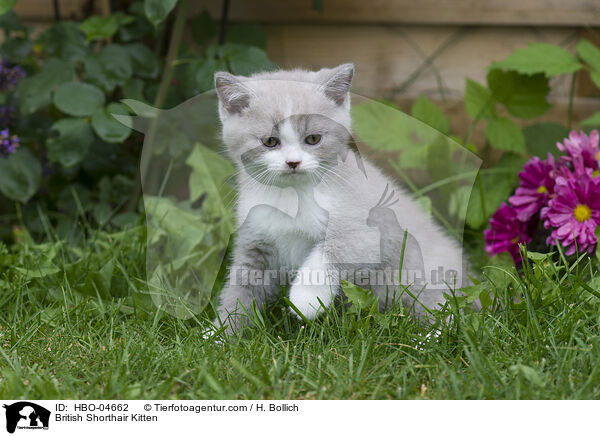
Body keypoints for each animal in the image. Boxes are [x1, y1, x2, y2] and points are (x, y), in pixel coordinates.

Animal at [213, 62, 472, 334]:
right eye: (270, 141)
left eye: (313, 139)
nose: (293, 162)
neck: (292, 195)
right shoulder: (255, 242)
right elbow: (240, 288)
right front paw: (218, 333)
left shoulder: (370, 229)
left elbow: (332, 250)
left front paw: (304, 299)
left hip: (419, 273)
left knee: (445, 310)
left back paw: (428, 337)